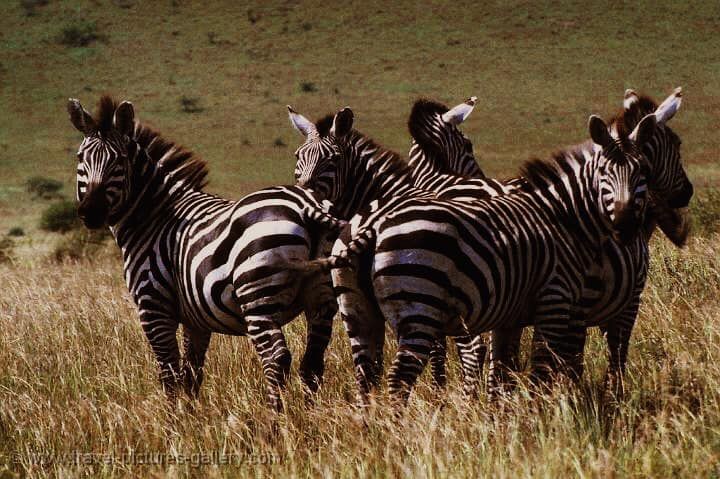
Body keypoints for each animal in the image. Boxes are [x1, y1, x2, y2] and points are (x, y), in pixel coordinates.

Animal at [68, 95, 346, 410]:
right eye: (80, 158)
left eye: (119, 161)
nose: (90, 212)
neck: (155, 217)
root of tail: (306, 205)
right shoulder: (195, 319)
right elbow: (192, 373)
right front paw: (193, 416)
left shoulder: (153, 306)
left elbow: (169, 373)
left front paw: (172, 419)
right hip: (321, 298)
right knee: (312, 363)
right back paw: (308, 417)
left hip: (257, 297)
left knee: (277, 357)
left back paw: (274, 419)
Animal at [292, 107, 660, 404]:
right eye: (298, 159)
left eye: (331, 160)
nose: (627, 225)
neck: (560, 214)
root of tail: (374, 224)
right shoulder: (549, 302)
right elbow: (526, 368)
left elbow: (495, 364)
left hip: (360, 311)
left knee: (369, 376)